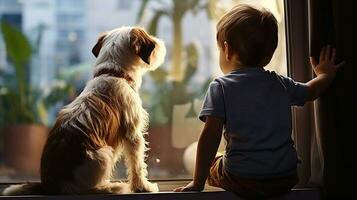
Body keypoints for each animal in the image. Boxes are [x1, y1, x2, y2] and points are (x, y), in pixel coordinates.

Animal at [2, 26, 166, 195]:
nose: (160, 42)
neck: (114, 73)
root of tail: (51, 186)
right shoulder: (133, 134)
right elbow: (137, 164)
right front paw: (143, 186)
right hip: (104, 154)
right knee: (87, 190)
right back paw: (110, 187)